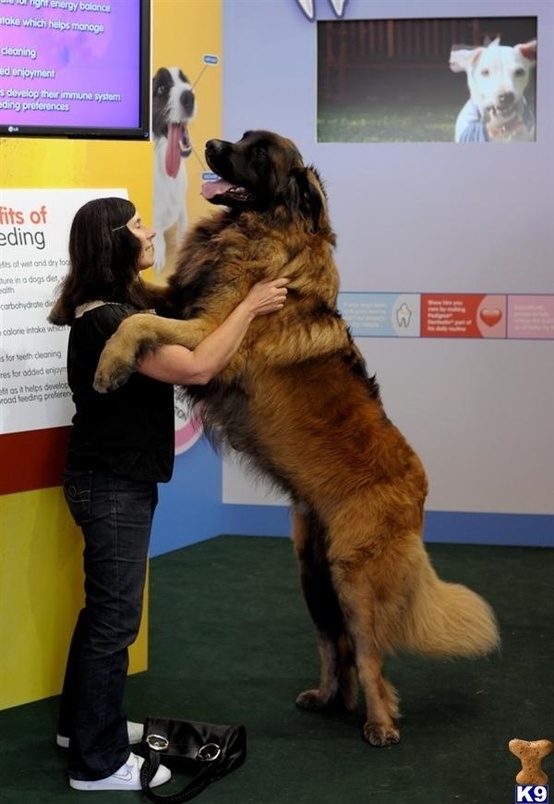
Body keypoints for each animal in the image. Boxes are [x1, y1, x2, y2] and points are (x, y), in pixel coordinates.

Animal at [95, 130, 500, 748]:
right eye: (241, 139)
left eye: (259, 153)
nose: (211, 143)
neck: (255, 230)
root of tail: (419, 489)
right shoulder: (182, 298)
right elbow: (140, 295)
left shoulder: (205, 333)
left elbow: (136, 322)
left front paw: (108, 364)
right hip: (312, 571)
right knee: (338, 647)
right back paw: (330, 699)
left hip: (354, 579)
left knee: (369, 654)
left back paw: (380, 724)